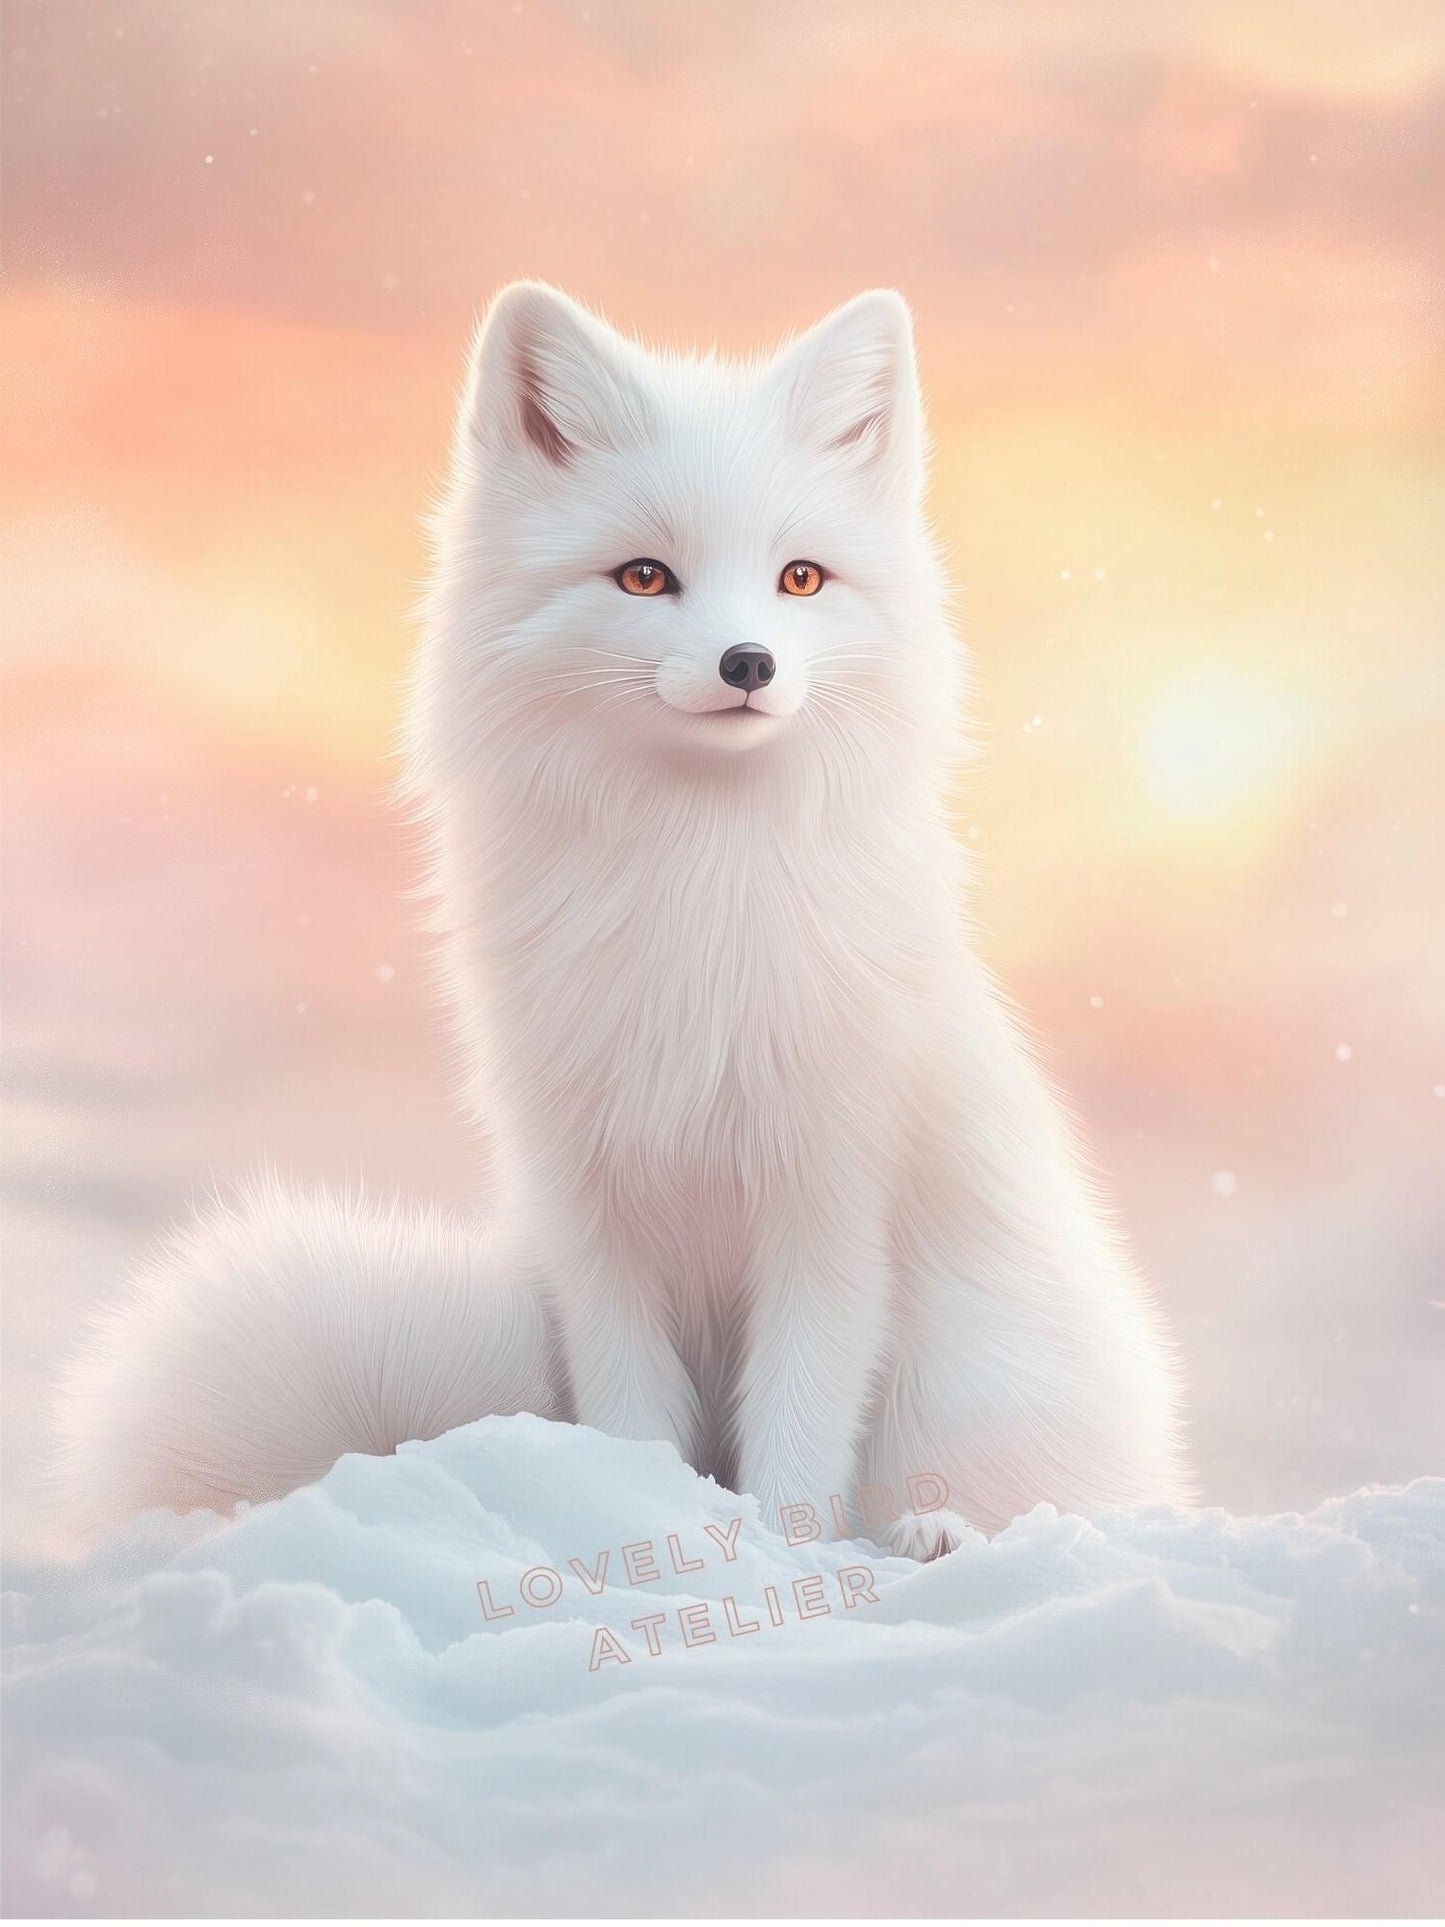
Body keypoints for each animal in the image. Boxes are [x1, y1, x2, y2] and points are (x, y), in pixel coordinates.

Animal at [58, 284, 1191, 1554]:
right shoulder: (586, 1204)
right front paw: (650, 1535)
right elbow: (632, 1414)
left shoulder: (830, 1197)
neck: (695, 900)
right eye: (644, 577)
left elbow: (799, 1428)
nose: (747, 662)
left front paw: (775, 1560)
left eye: (801, 579)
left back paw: (931, 1537)